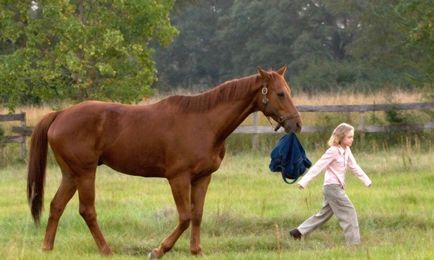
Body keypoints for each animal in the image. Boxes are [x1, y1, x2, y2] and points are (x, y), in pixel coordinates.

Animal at [27, 66, 302, 258]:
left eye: (289, 91)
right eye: (280, 93)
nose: (297, 124)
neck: (204, 122)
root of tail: (60, 114)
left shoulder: (202, 178)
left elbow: (197, 214)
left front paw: (197, 251)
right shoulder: (178, 178)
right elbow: (185, 216)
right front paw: (158, 250)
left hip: (71, 174)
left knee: (56, 206)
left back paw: (47, 247)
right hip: (85, 173)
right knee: (87, 210)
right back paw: (106, 250)